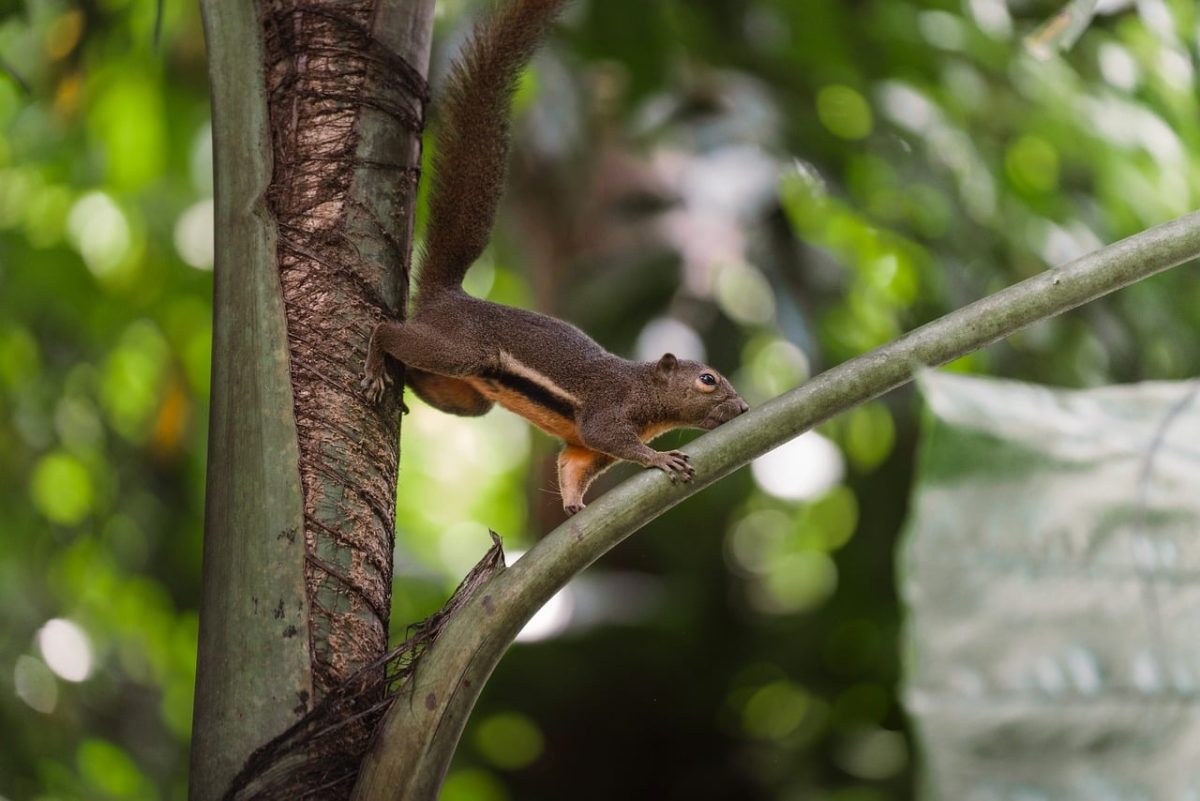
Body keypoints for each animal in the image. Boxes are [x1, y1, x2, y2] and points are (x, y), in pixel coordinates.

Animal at [362, 0, 749, 515]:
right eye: (707, 379)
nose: (743, 408)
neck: (645, 390)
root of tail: (448, 295)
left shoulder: (586, 450)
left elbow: (572, 466)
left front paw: (575, 511)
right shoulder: (608, 411)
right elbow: (609, 437)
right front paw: (658, 458)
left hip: (470, 395)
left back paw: (407, 384)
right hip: (464, 348)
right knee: (390, 331)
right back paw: (375, 363)